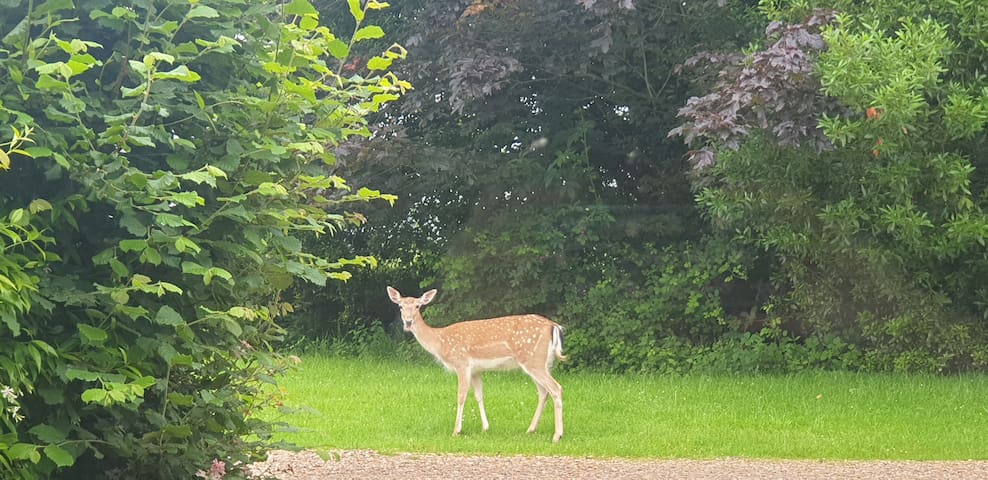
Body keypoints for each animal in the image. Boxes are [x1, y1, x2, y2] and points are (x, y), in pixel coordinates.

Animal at [388, 286, 568, 444]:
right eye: (400, 306)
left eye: (417, 306)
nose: (408, 322)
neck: (440, 342)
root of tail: (553, 326)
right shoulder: (475, 370)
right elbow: (479, 395)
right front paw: (485, 427)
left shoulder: (461, 362)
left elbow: (461, 396)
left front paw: (456, 431)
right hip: (542, 362)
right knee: (543, 392)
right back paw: (531, 429)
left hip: (533, 360)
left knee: (556, 388)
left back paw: (557, 436)